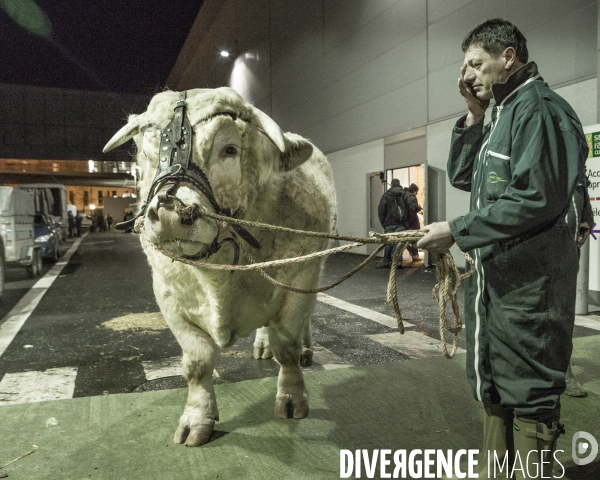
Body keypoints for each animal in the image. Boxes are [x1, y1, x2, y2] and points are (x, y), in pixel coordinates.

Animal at [103, 87, 338, 446]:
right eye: (147, 154)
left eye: (229, 149)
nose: (171, 211)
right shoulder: (167, 294)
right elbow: (197, 361)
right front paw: (197, 418)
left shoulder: (299, 277)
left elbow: (287, 347)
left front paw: (291, 398)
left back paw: (305, 350)